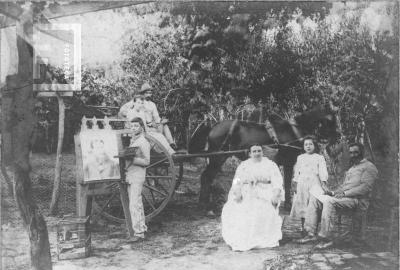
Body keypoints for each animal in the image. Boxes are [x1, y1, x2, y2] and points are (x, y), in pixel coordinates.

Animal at [189, 104, 340, 214]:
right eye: (331, 121)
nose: (338, 137)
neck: (293, 131)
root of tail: (213, 127)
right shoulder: (289, 162)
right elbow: (286, 183)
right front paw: (287, 205)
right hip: (218, 158)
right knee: (206, 177)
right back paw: (204, 207)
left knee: (206, 177)